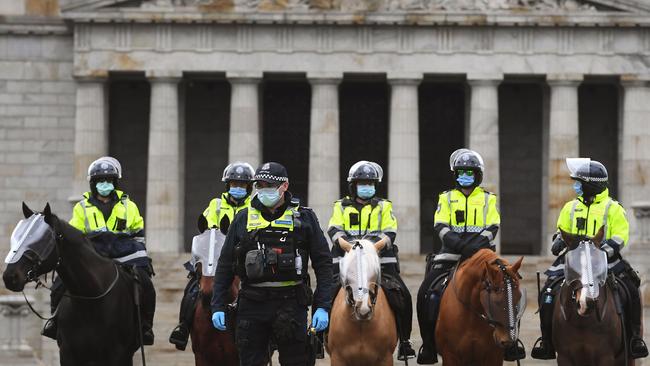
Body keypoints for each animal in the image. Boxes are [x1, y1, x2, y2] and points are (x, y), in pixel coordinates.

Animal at [324, 237, 394, 366]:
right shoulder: (337, 358)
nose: (363, 310)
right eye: (349, 273)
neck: (361, 325)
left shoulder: (386, 358)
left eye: (375, 272)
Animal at [552, 227, 628, 364]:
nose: (587, 302)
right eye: (572, 265)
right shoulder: (563, 356)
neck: (582, 323)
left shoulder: (606, 356)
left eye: (598, 264)